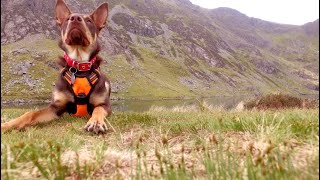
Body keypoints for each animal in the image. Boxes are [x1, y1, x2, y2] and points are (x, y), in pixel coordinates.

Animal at [1, 0, 112, 134]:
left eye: (89, 20)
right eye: (68, 19)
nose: (75, 18)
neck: (79, 66)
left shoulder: (104, 104)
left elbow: (98, 110)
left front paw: (95, 122)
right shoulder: (56, 107)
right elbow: (30, 113)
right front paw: (7, 125)